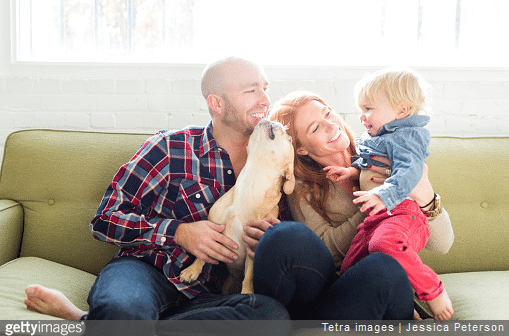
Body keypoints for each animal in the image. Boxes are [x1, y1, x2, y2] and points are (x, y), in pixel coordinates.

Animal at [179, 119, 294, 294]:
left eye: (289, 138)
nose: (270, 118)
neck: (251, 184)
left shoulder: (253, 248)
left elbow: (249, 276)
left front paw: (247, 292)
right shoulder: (213, 229)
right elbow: (202, 254)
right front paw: (192, 270)